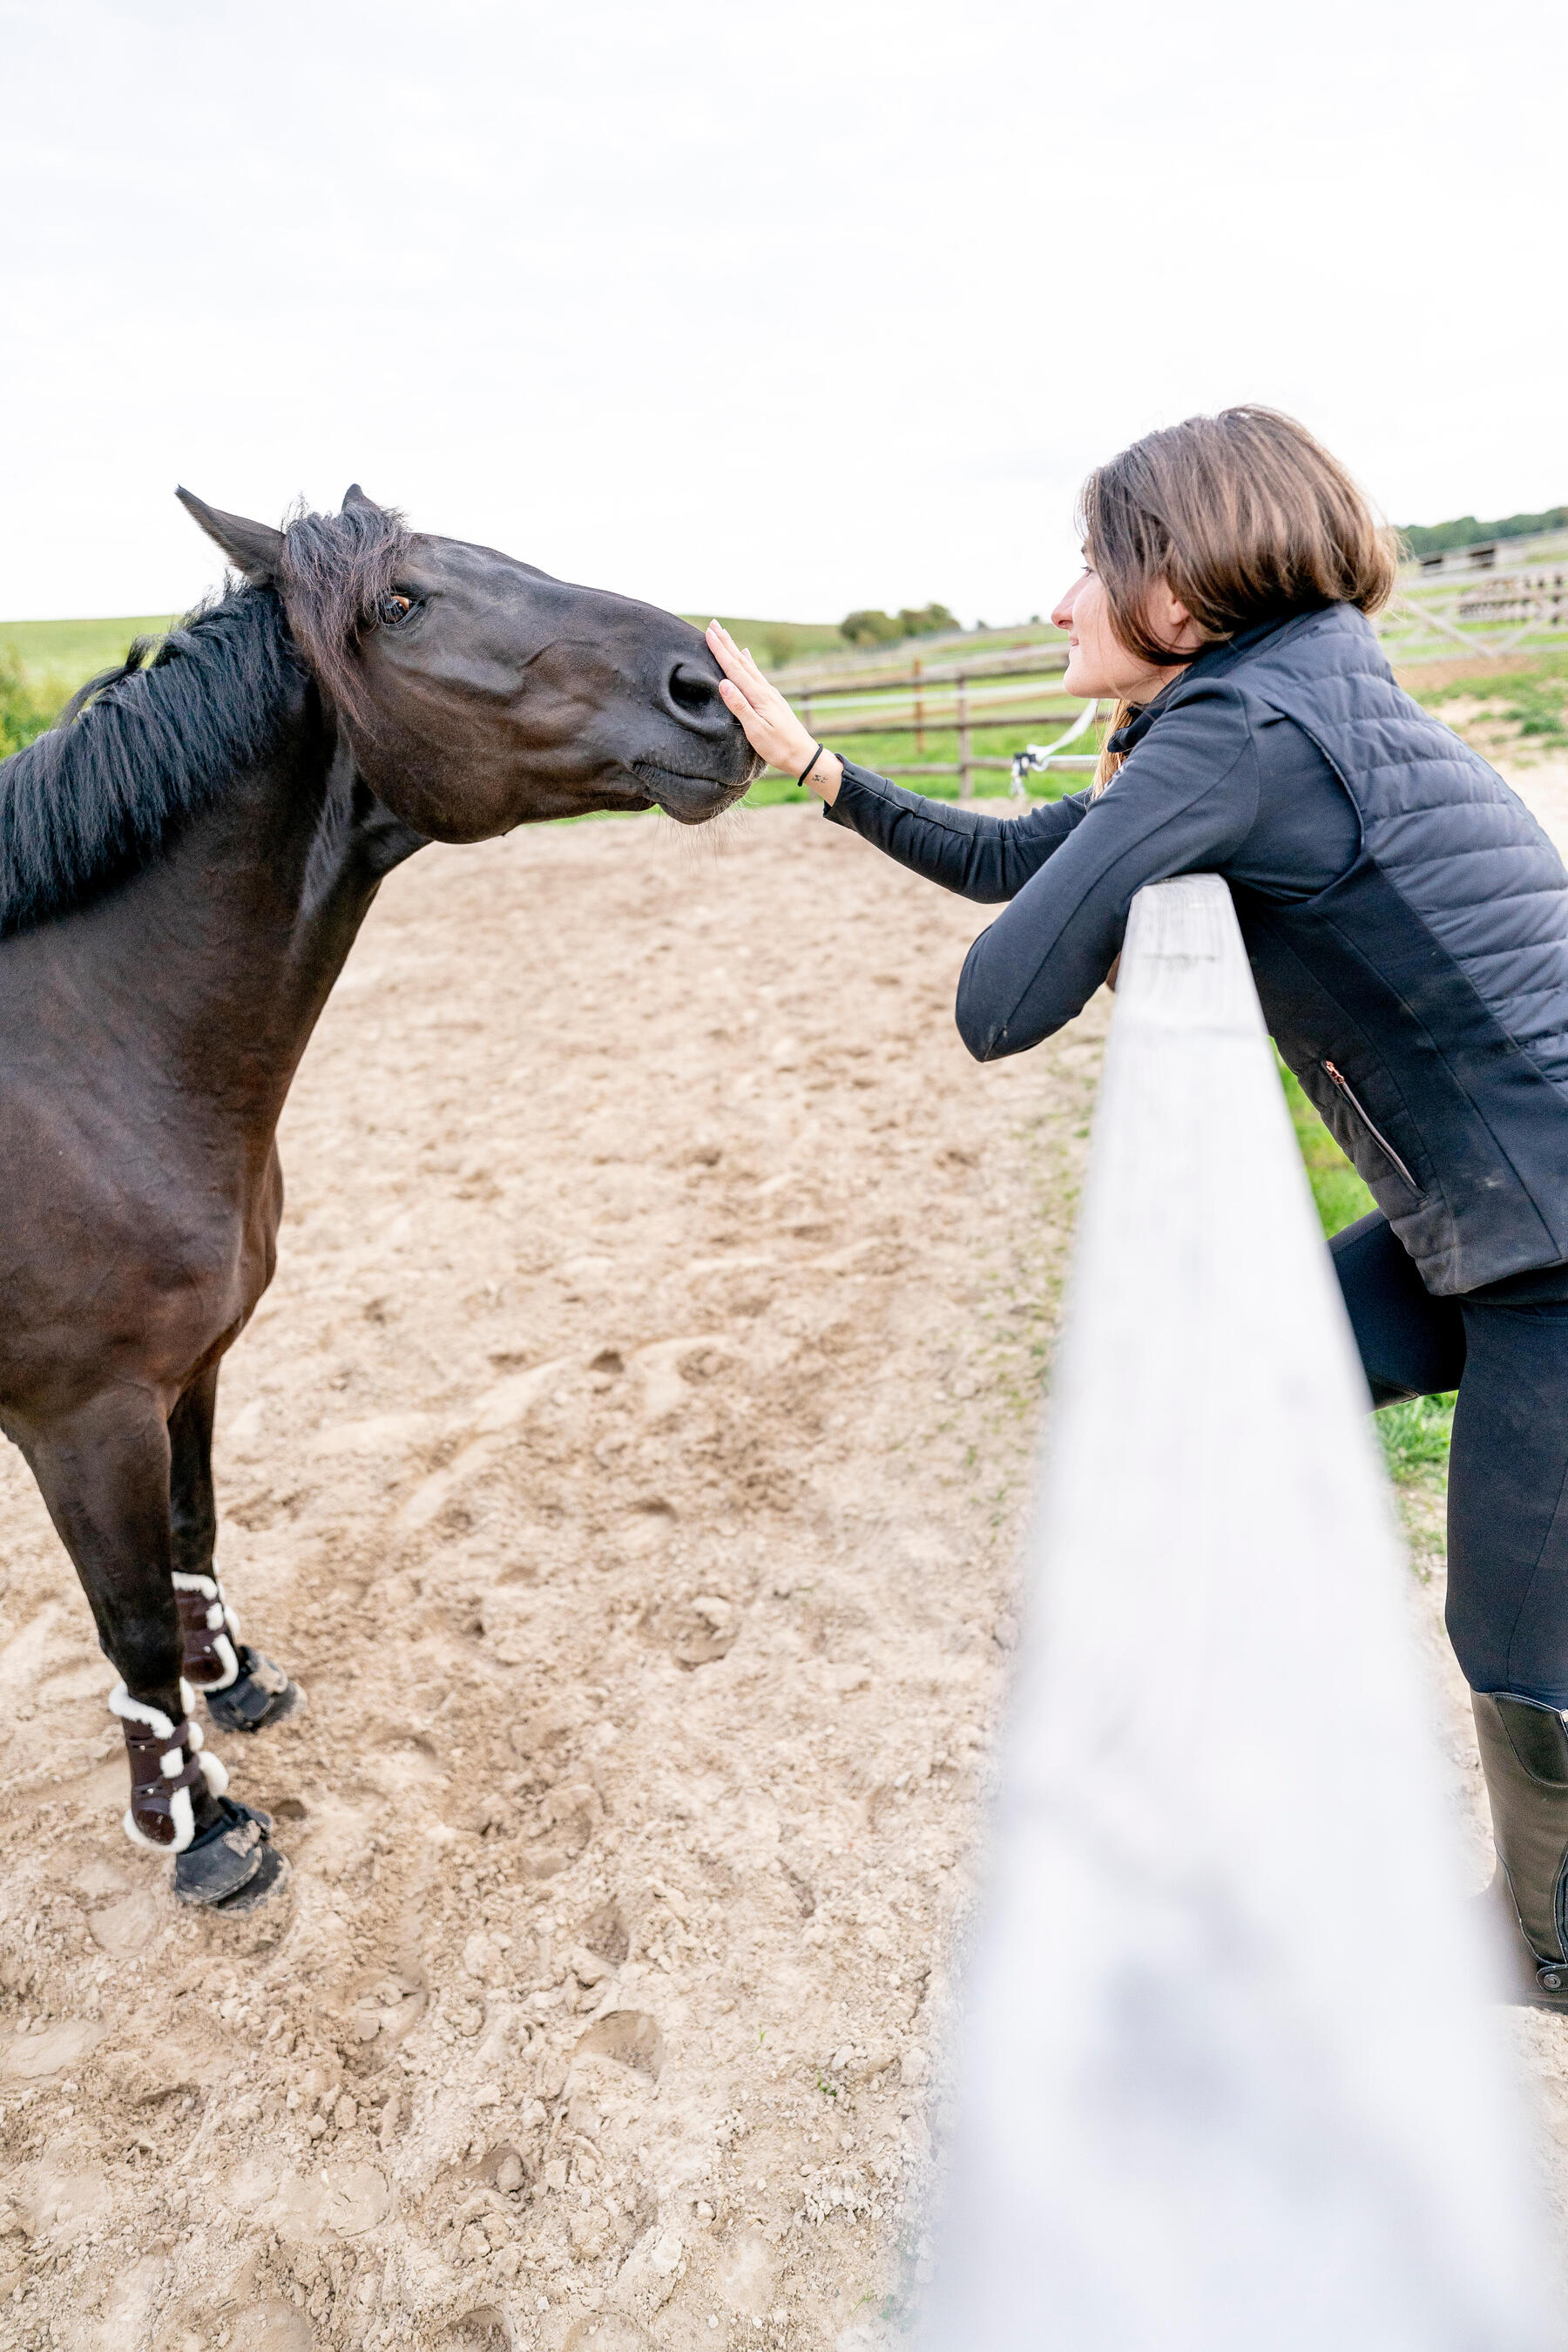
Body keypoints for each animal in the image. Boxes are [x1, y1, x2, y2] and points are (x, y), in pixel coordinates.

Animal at [0, 491, 761, 1909]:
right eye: (399, 602)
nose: (709, 686)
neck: (78, 1059)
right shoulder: (83, 1419)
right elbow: (128, 1621)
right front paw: (199, 1829)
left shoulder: (192, 1372)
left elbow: (193, 1532)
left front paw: (238, 1687)